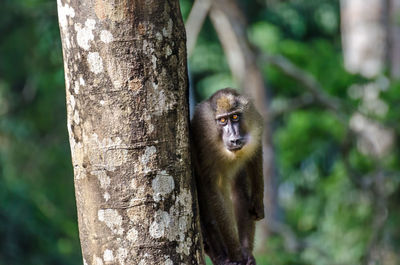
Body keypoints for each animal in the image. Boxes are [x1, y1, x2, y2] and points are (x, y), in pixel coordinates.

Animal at [191, 87, 266, 262]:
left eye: (235, 117)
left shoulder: (253, 119)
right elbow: (214, 188)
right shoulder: (202, 135)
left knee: (240, 189)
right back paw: (221, 255)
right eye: (223, 120)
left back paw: (246, 252)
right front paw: (236, 254)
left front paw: (258, 201)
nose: (234, 139)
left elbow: (255, 151)